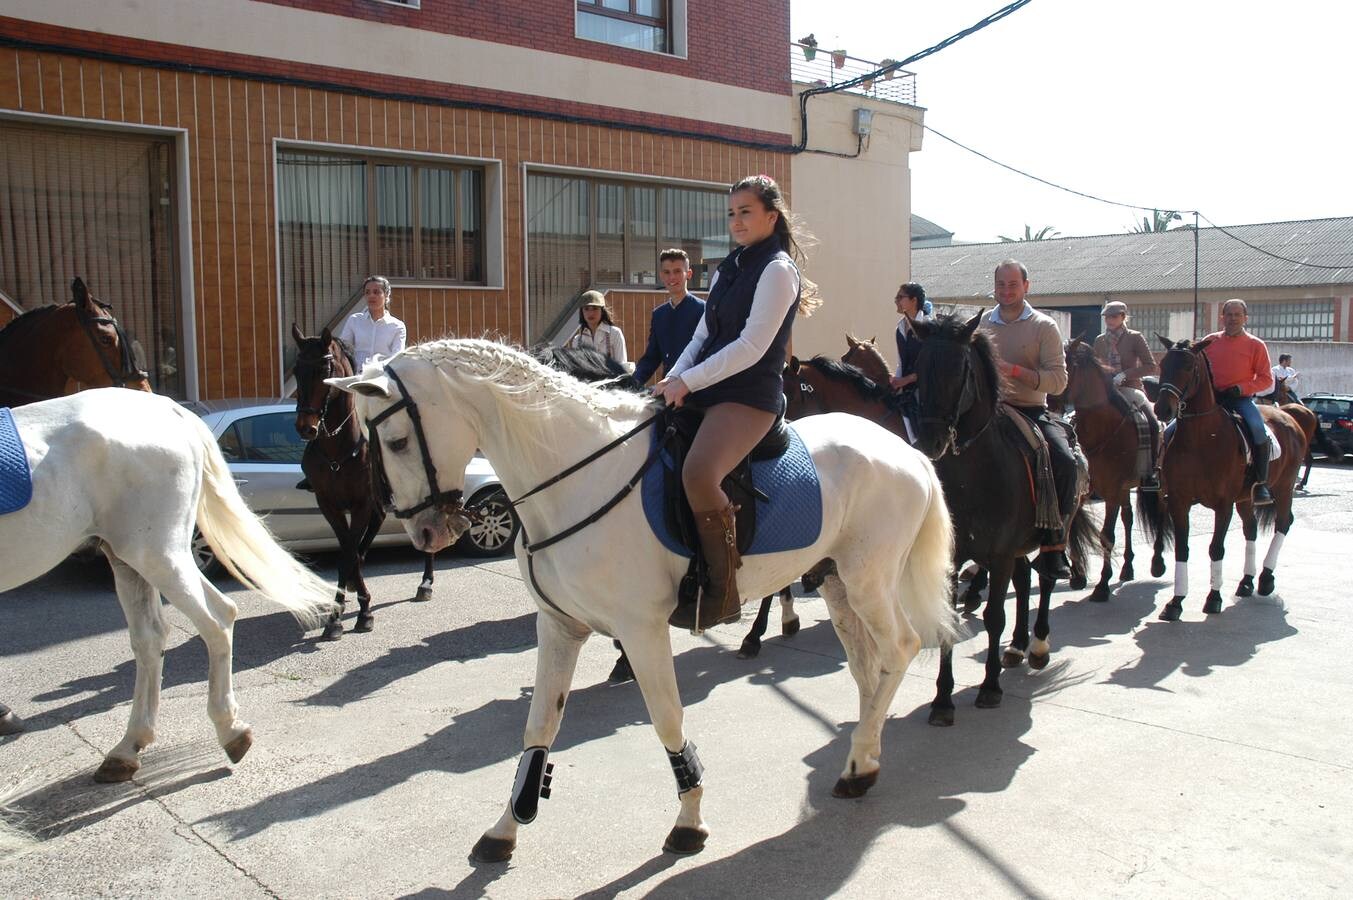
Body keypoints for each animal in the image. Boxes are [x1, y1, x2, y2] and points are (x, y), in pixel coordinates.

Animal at [1, 392, 334, 779]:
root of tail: (171, 409)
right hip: (132, 558)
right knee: (154, 637)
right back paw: (129, 747)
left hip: (154, 552)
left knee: (214, 619)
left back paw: (229, 730)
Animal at [292, 323, 435, 638]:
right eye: (296, 370)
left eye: (323, 369)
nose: (306, 427)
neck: (339, 449)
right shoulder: (328, 504)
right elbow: (347, 551)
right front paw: (337, 612)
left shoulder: (361, 503)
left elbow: (349, 554)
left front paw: (364, 611)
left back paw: (426, 583)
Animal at [909, 313, 1098, 725]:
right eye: (919, 367)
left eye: (960, 368)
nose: (930, 441)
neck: (974, 471)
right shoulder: (955, 557)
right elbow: (949, 620)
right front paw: (942, 700)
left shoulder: (998, 554)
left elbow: (995, 615)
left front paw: (990, 687)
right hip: (1017, 548)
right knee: (1025, 579)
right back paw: (1016, 646)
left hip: (1045, 536)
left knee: (1045, 579)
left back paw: (1037, 646)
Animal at [1147, 336, 1315, 617]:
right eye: (1163, 364)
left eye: (1189, 366)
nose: (1161, 408)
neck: (1201, 438)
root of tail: (1288, 415)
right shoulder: (1179, 501)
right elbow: (1182, 548)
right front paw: (1176, 602)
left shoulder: (1223, 504)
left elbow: (1216, 548)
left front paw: (1213, 598)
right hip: (1246, 498)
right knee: (1251, 529)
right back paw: (1246, 582)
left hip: (1284, 487)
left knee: (1283, 523)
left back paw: (1265, 579)